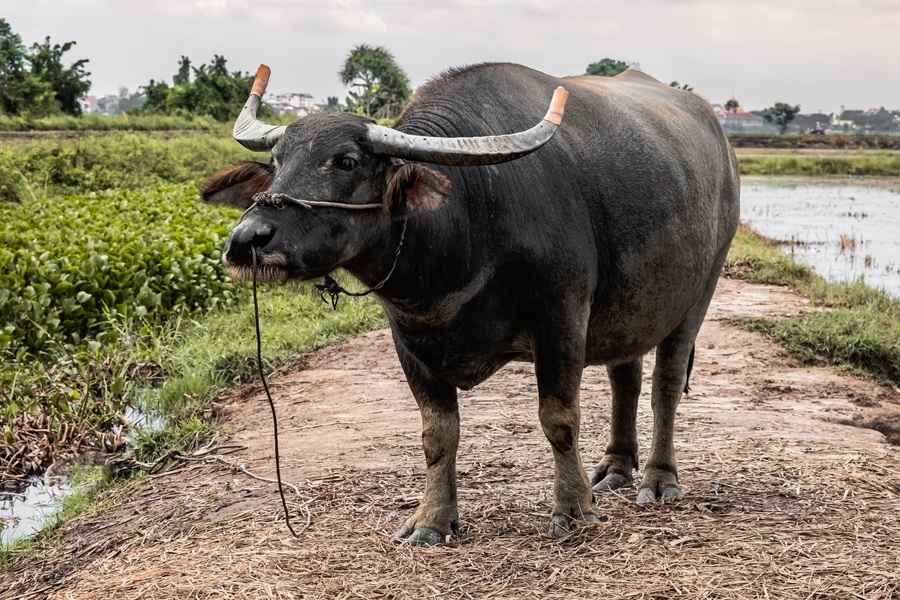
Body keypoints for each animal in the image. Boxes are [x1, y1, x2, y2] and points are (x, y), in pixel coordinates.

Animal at [204, 64, 740, 544]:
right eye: (278, 162)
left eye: (347, 160)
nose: (248, 240)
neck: (470, 220)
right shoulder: (408, 338)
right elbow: (438, 434)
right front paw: (431, 521)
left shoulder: (562, 317)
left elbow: (559, 418)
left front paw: (573, 511)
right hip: (630, 307)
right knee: (624, 377)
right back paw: (614, 468)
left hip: (700, 291)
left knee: (665, 385)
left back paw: (657, 478)